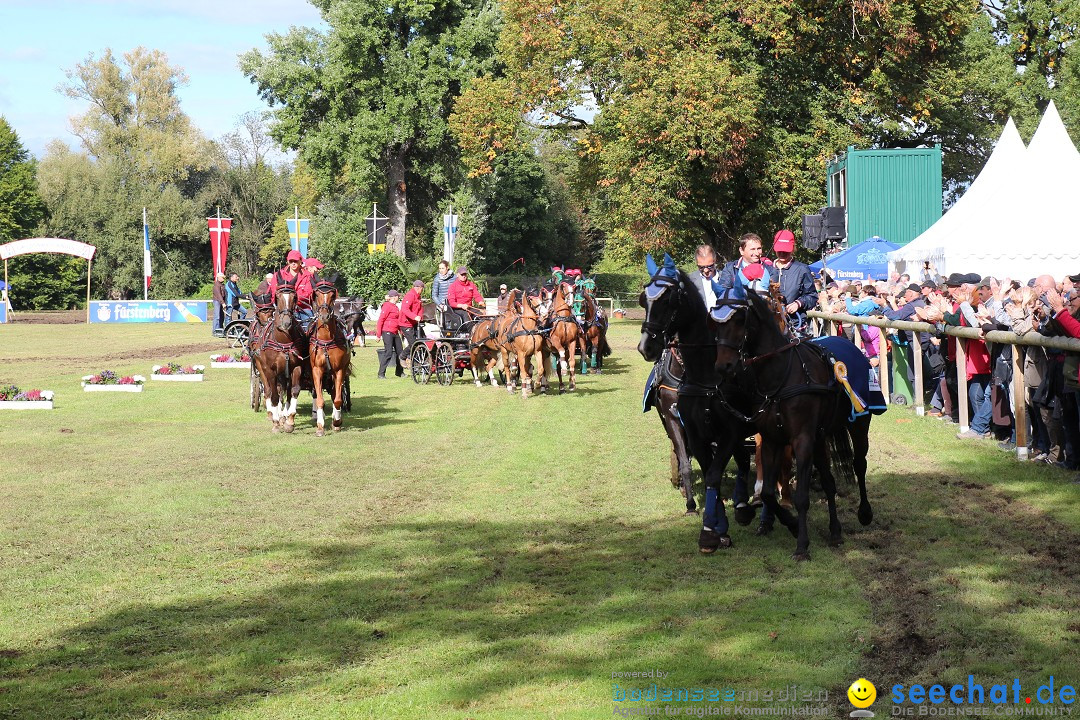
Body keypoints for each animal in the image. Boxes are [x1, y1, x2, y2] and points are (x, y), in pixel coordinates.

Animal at [311, 282, 352, 436]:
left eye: (332, 295)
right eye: (316, 294)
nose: (324, 315)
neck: (326, 340)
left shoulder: (339, 369)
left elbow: (338, 399)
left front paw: (337, 421)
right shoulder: (316, 370)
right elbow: (320, 400)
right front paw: (320, 426)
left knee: (336, 393)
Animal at [635, 255, 756, 548]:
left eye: (669, 299)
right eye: (644, 299)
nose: (646, 347)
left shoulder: (728, 430)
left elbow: (716, 470)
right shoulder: (680, 423)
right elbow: (689, 463)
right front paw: (693, 505)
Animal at [712, 284, 872, 561]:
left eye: (739, 318)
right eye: (714, 320)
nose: (724, 366)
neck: (781, 376)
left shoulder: (802, 440)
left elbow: (801, 497)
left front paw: (802, 546)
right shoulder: (772, 439)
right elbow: (767, 493)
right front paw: (792, 524)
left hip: (858, 423)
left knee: (859, 464)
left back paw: (864, 512)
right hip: (821, 439)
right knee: (829, 482)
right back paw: (835, 531)